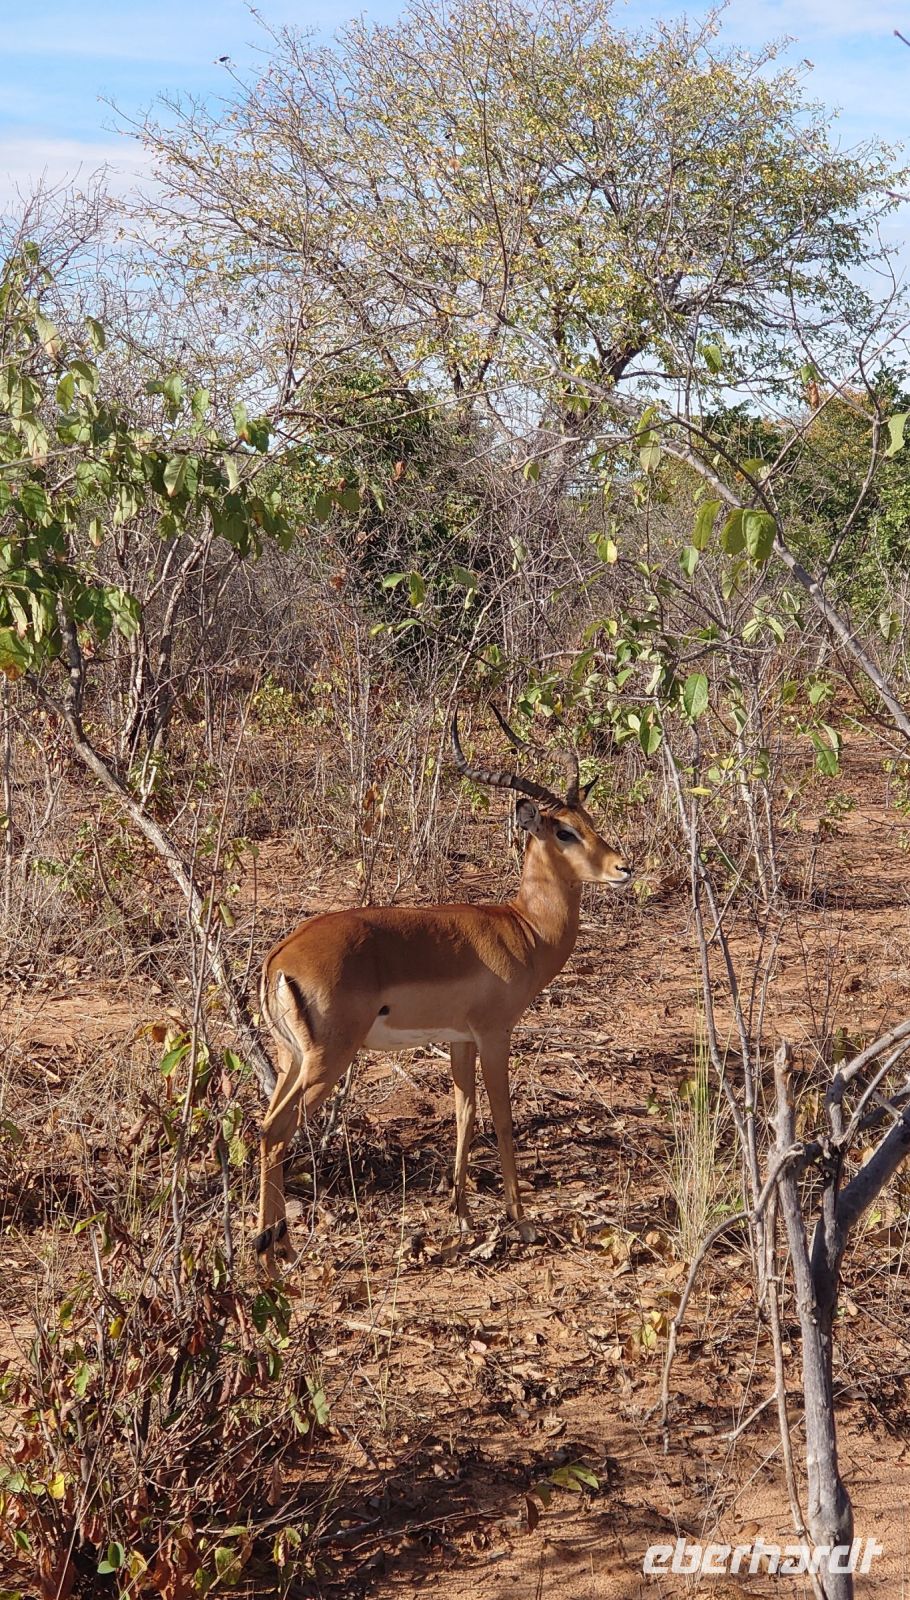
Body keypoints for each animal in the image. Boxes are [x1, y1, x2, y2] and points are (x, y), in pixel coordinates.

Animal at [254, 714, 631, 1272]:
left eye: (588, 819)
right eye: (564, 830)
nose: (624, 867)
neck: (523, 929)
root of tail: (279, 959)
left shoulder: (460, 1039)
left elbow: (463, 1114)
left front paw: (463, 1217)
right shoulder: (495, 1034)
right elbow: (502, 1118)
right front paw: (520, 1222)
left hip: (291, 1058)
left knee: (264, 1127)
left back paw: (273, 1242)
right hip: (329, 1059)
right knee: (275, 1131)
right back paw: (273, 1255)